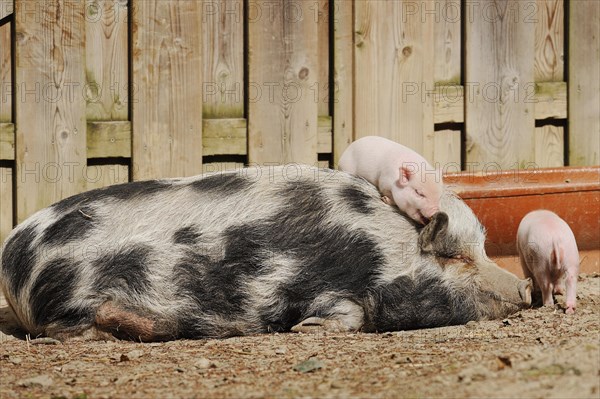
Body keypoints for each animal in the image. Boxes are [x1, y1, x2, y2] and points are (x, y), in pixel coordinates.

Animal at [0, 166, 528, 340]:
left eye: (481, 251)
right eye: (455, 258)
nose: (525, 287)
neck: (379, 251)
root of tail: (11, 256)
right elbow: (344, 314)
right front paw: (306, 329)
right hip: (70, 303)